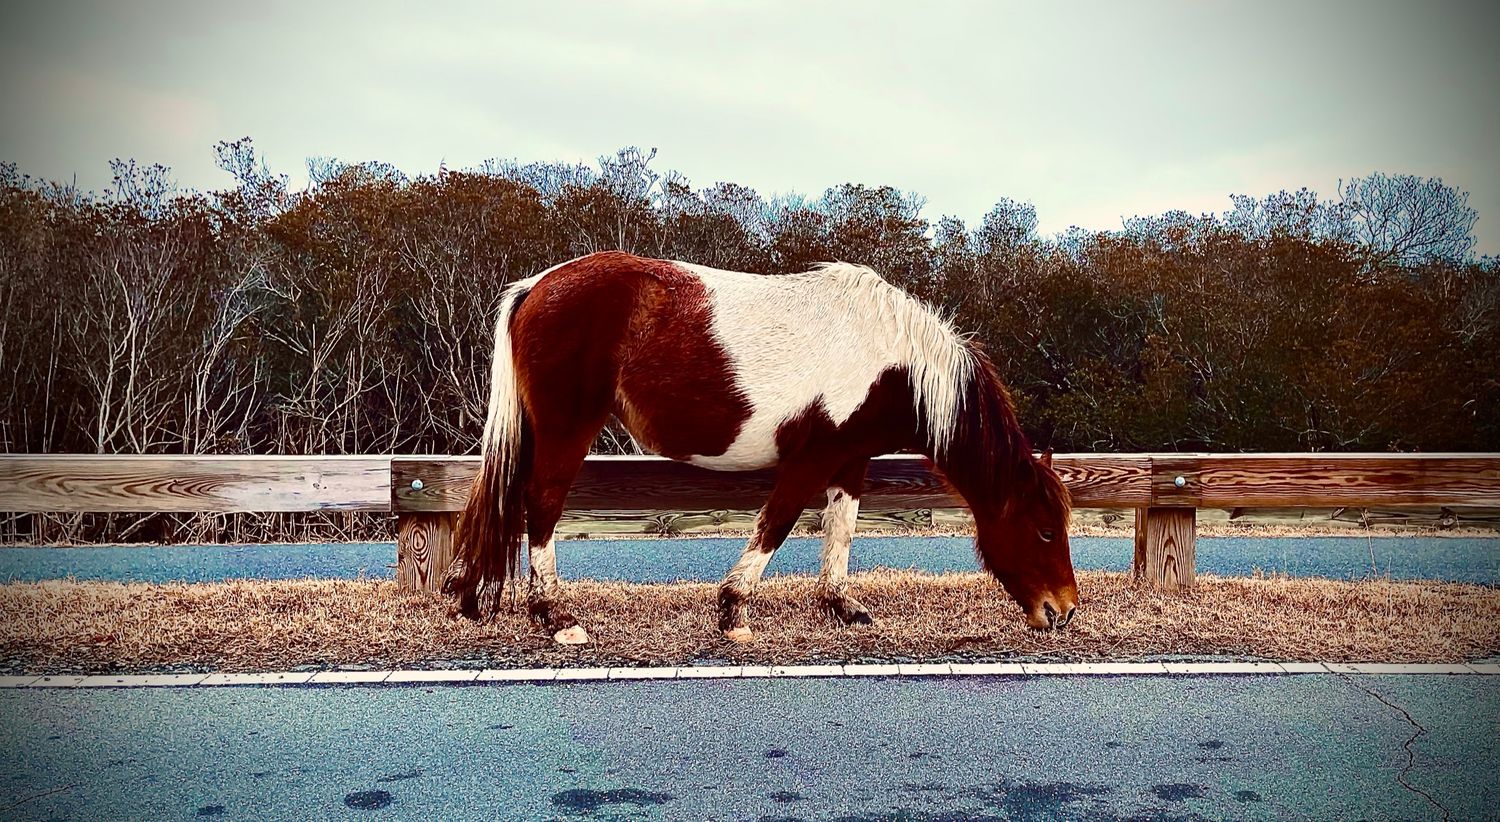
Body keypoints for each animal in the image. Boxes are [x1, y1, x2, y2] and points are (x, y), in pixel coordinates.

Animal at [443, 250, 1077, 645]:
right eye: (1045, 530)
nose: (1064, 610)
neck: (893, 362)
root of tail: (537, 285)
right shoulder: (812, 458)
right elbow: (777, 524)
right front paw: (732, 609)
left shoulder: (850, 460)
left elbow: (840, 529)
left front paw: (842, 606)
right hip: (566, 430)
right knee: (542, 505)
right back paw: (555, 617)